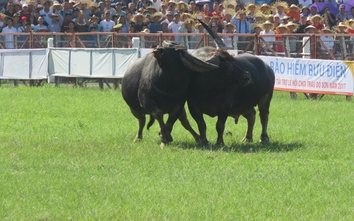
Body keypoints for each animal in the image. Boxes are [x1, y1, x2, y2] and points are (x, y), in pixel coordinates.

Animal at [122, 41, 252, 147]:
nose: (158, 49)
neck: (167, 84)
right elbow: (158, 114)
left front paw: (165, 136)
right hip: (134, 109)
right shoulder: (145, 101)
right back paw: (138, 138)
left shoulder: (179, 105)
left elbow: (170, 121)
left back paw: (197, 138)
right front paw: (164, 136)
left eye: (173, 50)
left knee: (185, 122)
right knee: (142, 120)